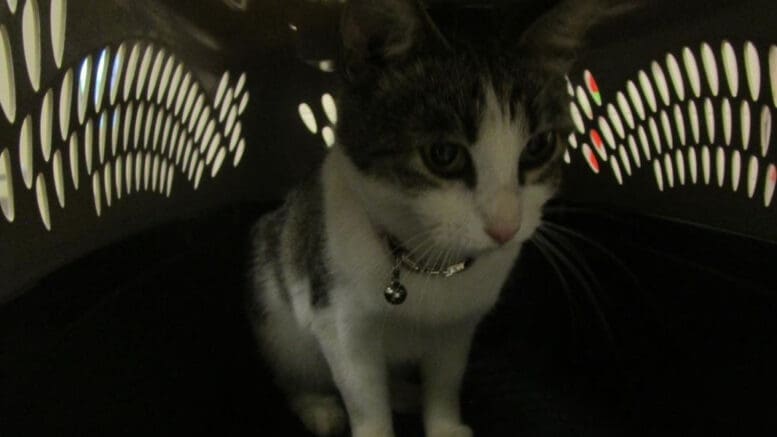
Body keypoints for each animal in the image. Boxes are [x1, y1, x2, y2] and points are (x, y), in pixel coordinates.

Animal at [246, 1, 620, 434]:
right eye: (443, 154)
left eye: (538, 146)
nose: (505, 226)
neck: (427, 261)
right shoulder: (341, 321)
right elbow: (363, 394)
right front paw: (370, 423)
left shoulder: (459, 327)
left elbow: (445, 378)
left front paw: (443, 423)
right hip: (275, 311)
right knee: (294, 371)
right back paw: (318, 408)